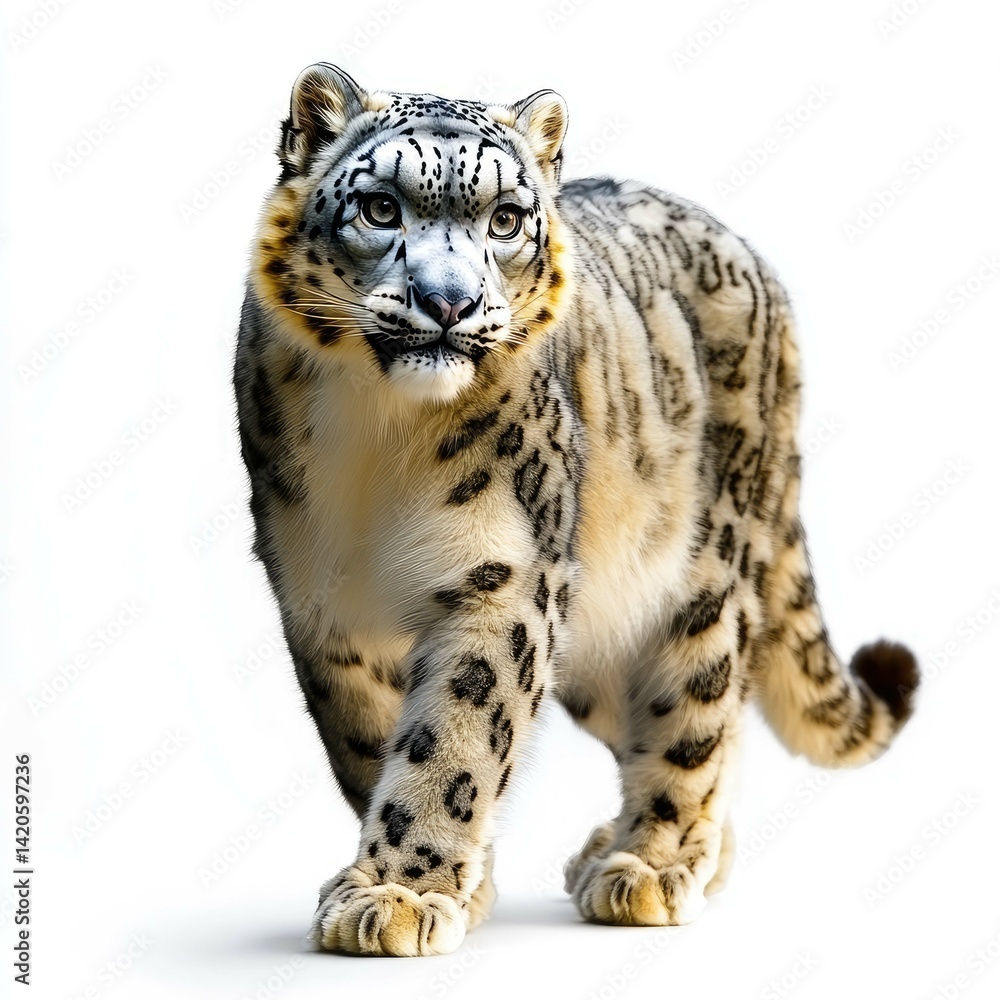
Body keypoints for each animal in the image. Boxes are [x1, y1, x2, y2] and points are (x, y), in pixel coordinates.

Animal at [233, 63, 919, 957]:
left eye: (505, 219)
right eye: (381, 207)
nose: (448, 303)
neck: (383, 436)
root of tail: (756, 265)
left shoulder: (505, 576)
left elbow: (454, 740)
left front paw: (401, 894)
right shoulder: (323, 596)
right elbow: (369, 742)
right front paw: (441, 885)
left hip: (696, 583)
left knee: (695, 715)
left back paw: (652, 864)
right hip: (600, 644)